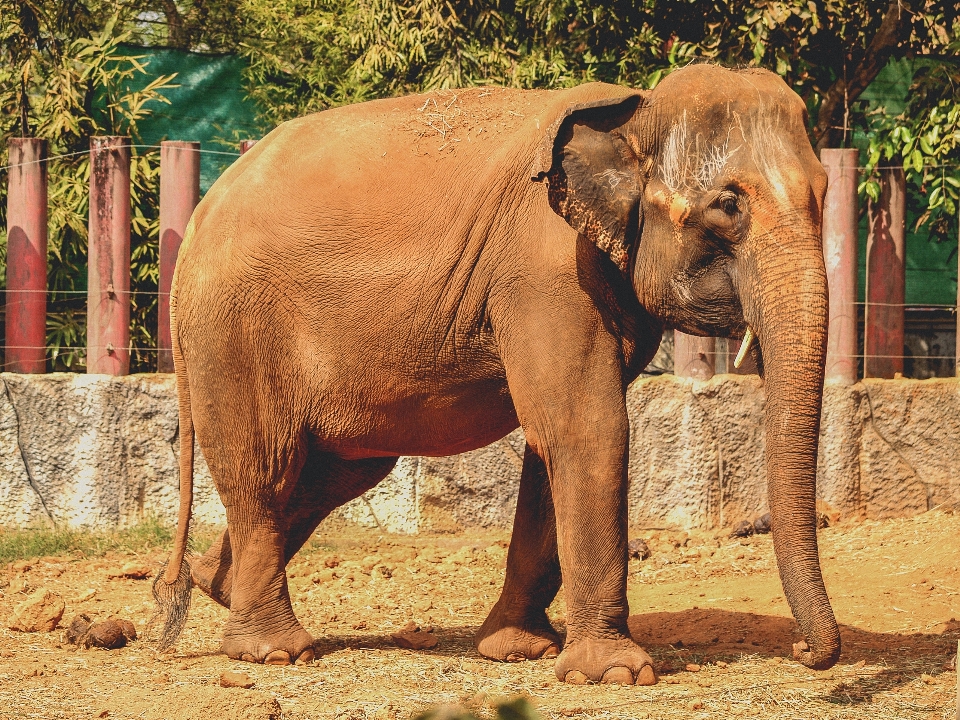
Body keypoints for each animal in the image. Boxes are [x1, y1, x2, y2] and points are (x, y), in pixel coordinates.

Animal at [156, 63, 840, 688]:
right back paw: (273, 651)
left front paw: (519, 650)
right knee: (264, 465)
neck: (635, 109)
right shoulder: (546, 270)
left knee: (338, 472)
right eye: (728, 205)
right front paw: (615, 673)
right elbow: (590, 429)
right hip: (235, 328)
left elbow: (553, 442)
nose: (805, 653)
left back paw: (212, 584)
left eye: (826, 192)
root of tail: (199, 218)